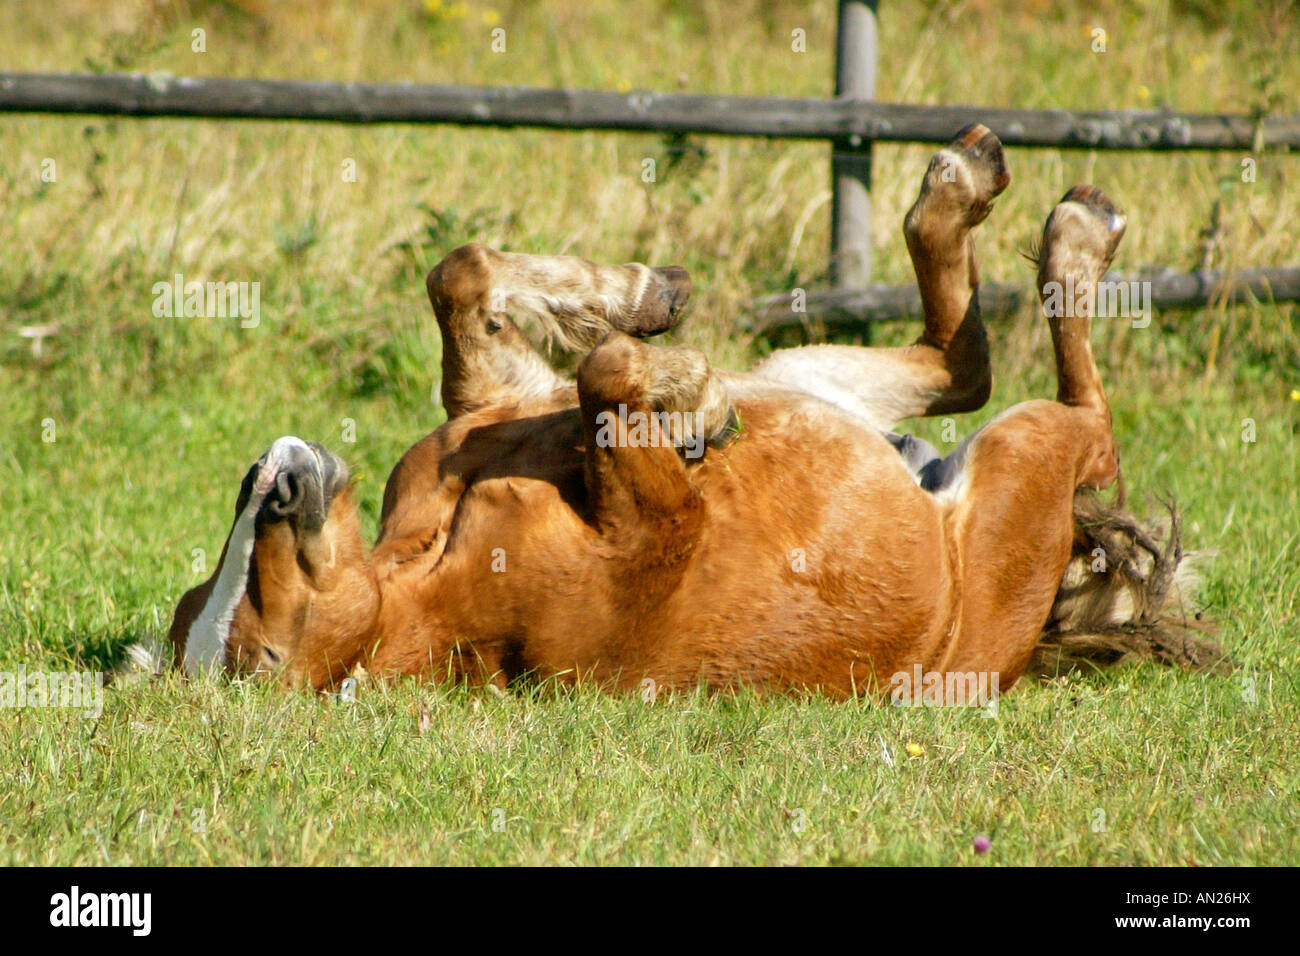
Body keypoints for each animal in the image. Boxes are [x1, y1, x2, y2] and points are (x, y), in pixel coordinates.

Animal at [167, 125, 1144, 697]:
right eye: (261, 655)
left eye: (233, 615)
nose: (279, 479)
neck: (433, 566)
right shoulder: (664, 529)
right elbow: (604, 371)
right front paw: (694, 404)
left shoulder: (492, 403)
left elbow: (464, 274)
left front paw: (642, 297)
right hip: (1023, 460)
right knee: (1082, 420)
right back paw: (1076, 230)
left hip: (804, 371)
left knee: (959, 361)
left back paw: (972, 182)